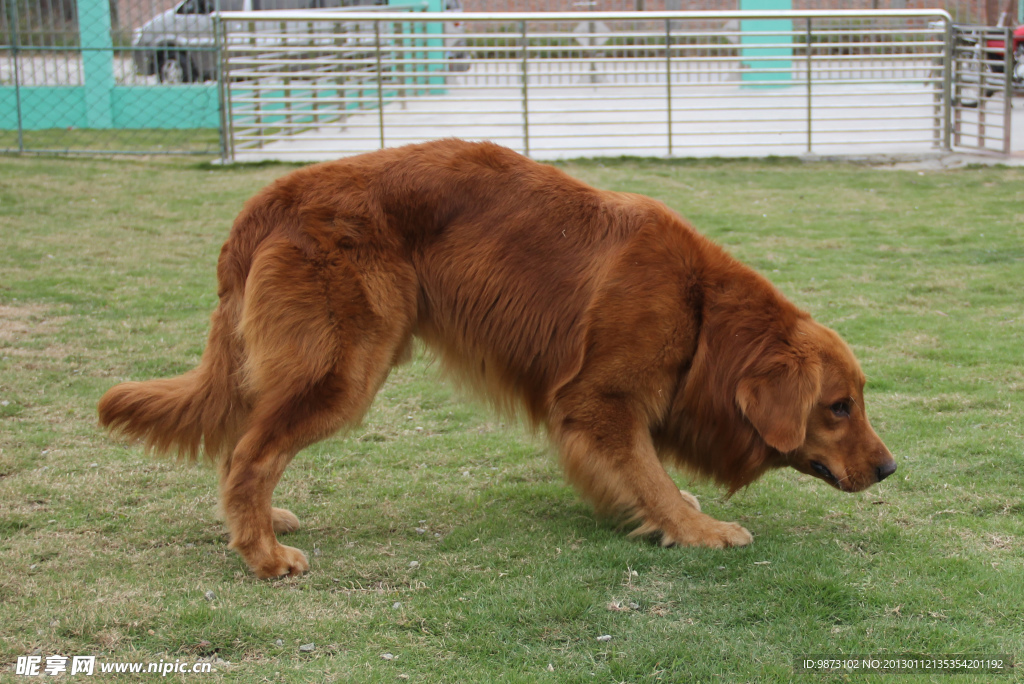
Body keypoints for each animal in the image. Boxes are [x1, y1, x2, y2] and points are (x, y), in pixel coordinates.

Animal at [97, 139, 897, 577]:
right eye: (838, 407)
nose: (891, 468)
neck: (701, 311)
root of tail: (270, 198)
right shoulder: (597, 400)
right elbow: (649, 473)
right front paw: (697, 531)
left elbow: (638, 474)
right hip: (344, 369)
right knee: (250, 453)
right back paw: (263, 555)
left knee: (244, 445)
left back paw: (263, 524)